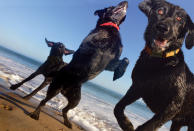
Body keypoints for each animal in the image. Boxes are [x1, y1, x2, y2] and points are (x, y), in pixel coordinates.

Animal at [28, 0, 129, 128]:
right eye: (111, 6)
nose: (125, 2)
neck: (110, 26)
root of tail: (64, 89)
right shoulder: (90, 46)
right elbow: (90, 51)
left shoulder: (111, 62)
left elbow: (126, 60)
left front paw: (118, 74)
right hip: (55, 88)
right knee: (43, 102)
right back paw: (36, 114)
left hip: (76, 100)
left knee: (64, 110)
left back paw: (67, 122)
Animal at [113, 0, 194, 131]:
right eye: (160, 11)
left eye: (179, 18)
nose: (162, 27)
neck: (159, 62)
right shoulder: (138, 87)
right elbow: (118, 107)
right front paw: (127, 124)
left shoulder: (173, 105)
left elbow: (149, 125)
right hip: (177, 123)